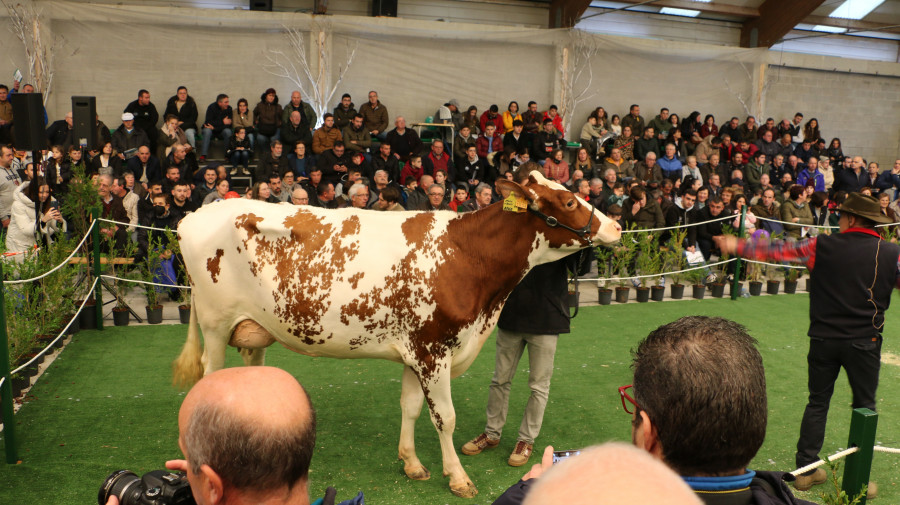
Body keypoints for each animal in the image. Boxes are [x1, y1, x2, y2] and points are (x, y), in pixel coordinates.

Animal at [174, 169, 624, 496]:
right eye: (569, 200)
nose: (618, 227)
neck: (467, 256)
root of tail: (194, 215)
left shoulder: (415, 351)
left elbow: (410, 407)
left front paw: (412, 463)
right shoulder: (434, 349)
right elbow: (445, 417)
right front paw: (457, 477)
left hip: (254, 330)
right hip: (215, 326)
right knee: (210, 378)